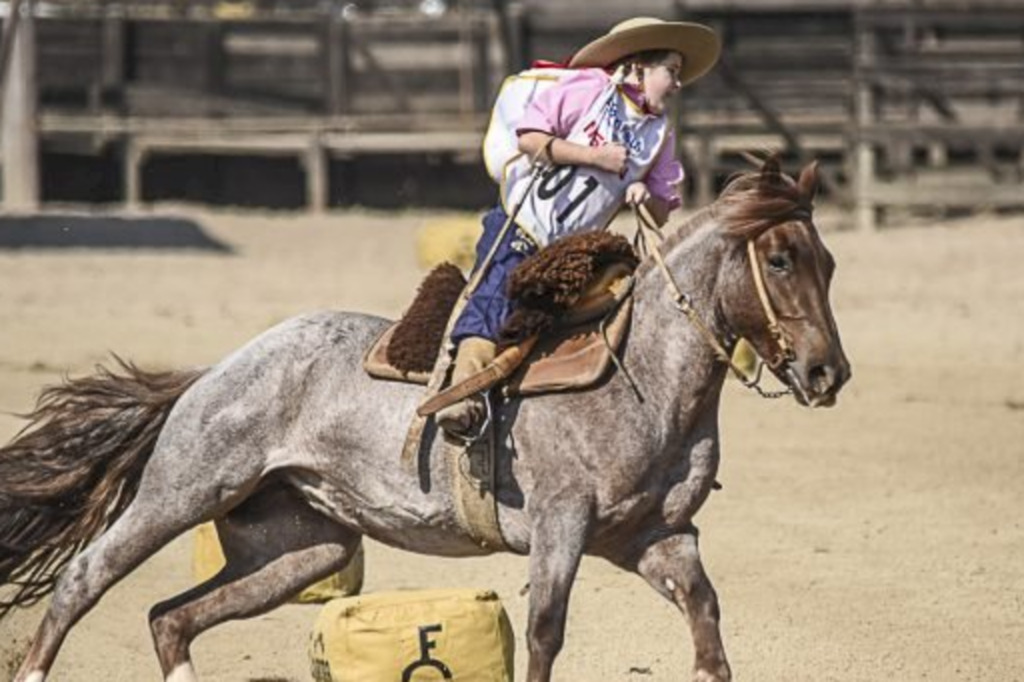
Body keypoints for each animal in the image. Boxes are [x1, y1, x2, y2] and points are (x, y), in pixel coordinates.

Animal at [0, 155, 847, 679]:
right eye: (779, 259)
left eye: (829, 263)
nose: (827, 372)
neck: (642, 379)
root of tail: (216, 371)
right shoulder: (562, 526)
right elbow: (545, 633)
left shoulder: (657, 536)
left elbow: (706, 618)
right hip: (183, 493)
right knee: (83, 581)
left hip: (298, 548)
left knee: (171, 619)